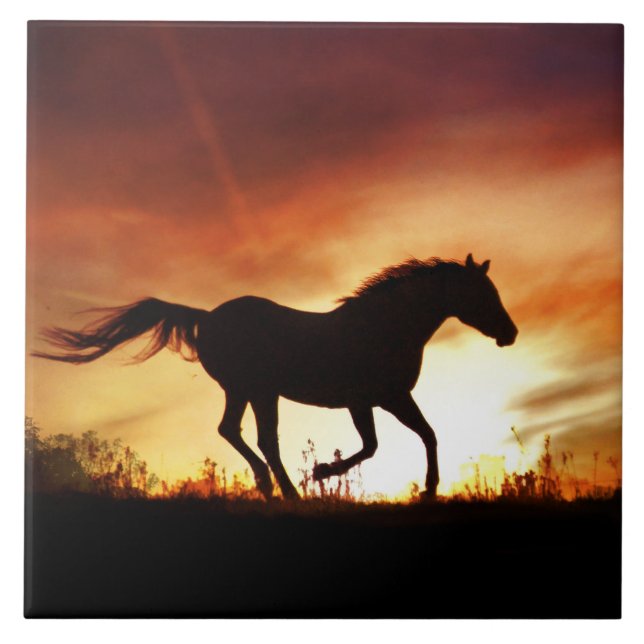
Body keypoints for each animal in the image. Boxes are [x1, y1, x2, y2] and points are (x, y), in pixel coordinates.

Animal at [33, 253, 518, 500]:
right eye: (483, 293)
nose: (510, 334)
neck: (383, 327)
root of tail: (206, 317)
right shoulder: (372, 399)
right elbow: (375, 446)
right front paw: (323, 472)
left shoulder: (390, 397)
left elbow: (426, 435)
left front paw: (430, 490)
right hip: (257, 390)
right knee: (259, 438)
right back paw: (286, 491)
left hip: (248, 391)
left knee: (236, 432)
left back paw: (271, 487)